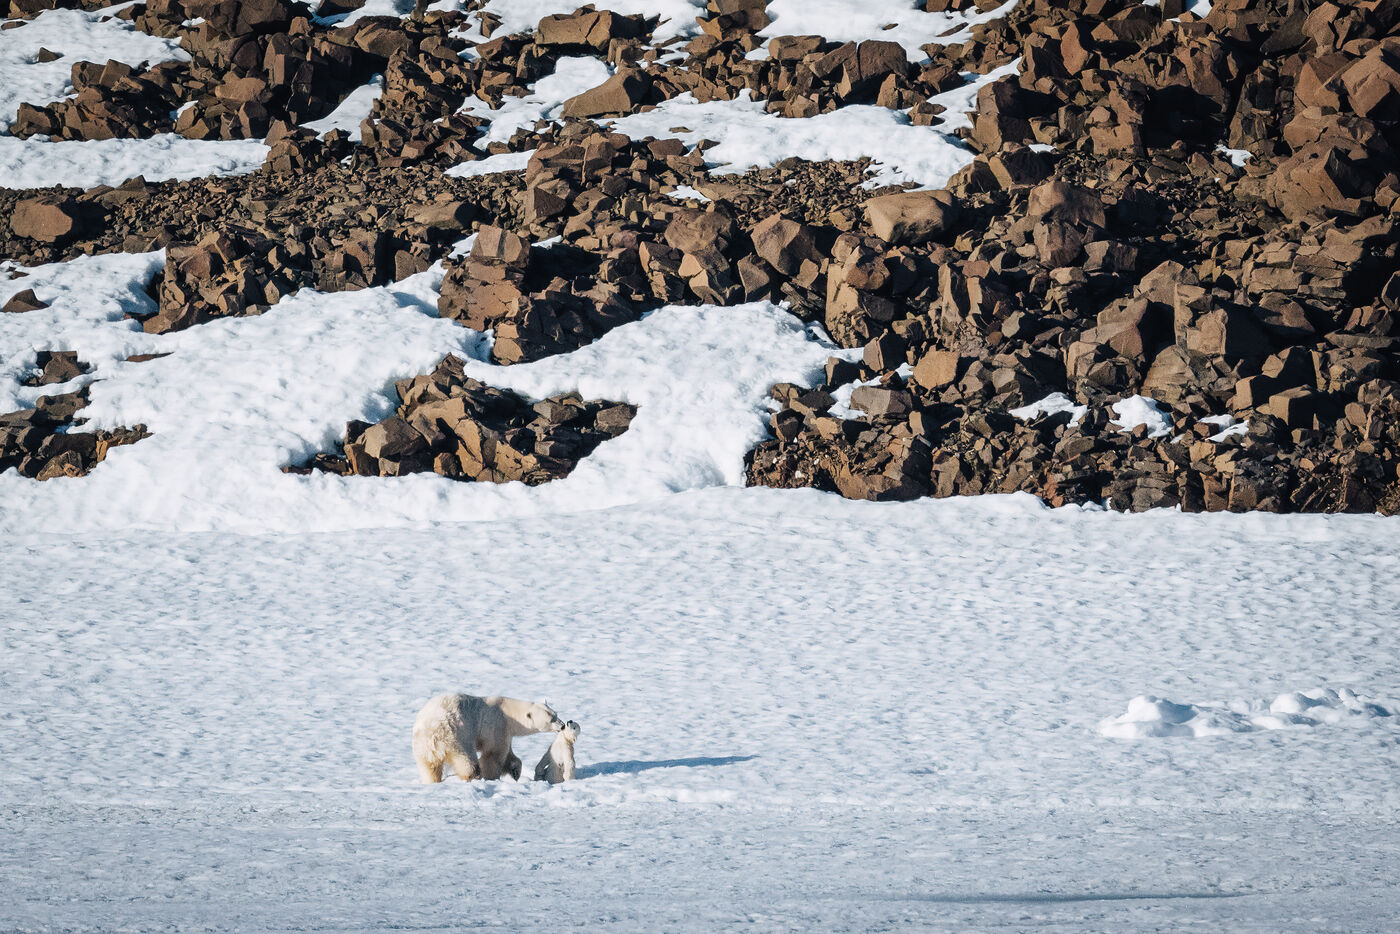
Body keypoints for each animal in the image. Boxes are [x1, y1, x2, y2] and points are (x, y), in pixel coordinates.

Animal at [413, 693, 563, 783]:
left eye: (556, 714)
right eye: (551, 719)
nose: (562, 726)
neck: (507, 712)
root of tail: (433, 733)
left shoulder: (505, 732)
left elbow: (508, 754)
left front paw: (515, 771)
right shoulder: (496, 725)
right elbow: (494, 755)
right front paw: (492, 777)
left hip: (422, 746)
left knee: (429, 766)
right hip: (456, 737)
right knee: (467, 762)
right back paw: (472, 776)